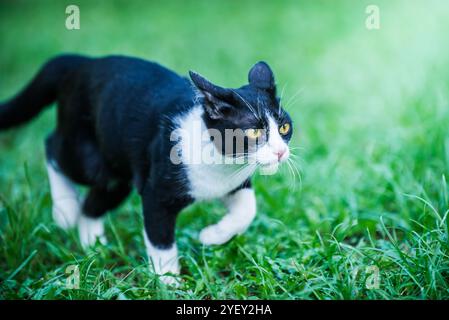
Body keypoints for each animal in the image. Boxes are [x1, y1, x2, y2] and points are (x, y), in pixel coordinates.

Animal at [0, 54, 292, 282]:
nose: (280, 152)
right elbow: (160, 239)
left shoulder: (233, 183)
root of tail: (82, 62)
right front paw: (169, 282)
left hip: (119, 175)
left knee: (94, 203)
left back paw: (94, 247)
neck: (224, 164)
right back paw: (65, 210)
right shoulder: (157, 193)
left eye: (284, 128)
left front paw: (212, 236)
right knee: (52, 148)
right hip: (87, 154)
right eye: (254, 132)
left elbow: (247, 209)